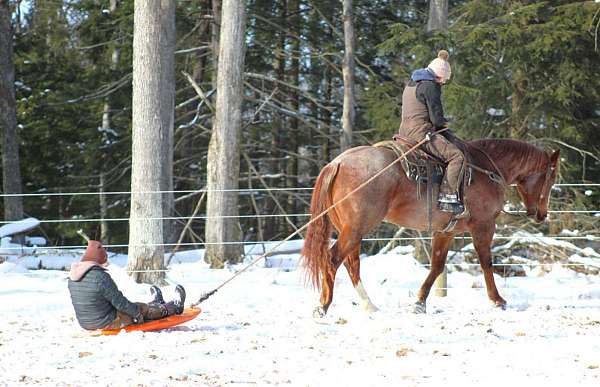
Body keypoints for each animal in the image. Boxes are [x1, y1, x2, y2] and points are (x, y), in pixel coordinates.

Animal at [302, 138, 560, 316]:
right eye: (551, 178)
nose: (541, 214)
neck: (487, 170)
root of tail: (337, 163)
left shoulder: (445, 232)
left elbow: (437, 266)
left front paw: (419, 302)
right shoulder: (484, 226)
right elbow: (486, 263)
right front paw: (497, 300)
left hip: (351, 230)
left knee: (351, 264)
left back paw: (369, 305)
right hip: (356, 228)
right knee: (333, 260)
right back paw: (323, 305)